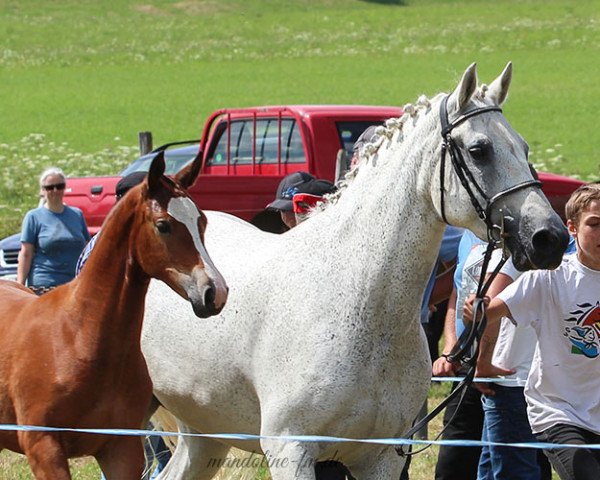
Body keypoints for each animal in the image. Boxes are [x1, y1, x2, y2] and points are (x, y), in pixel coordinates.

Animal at [0, 153, 227, 480]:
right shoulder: (44, 448)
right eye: (163, 225)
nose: (214, 292)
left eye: (201, 222)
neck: (79, 337)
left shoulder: (121, 449)